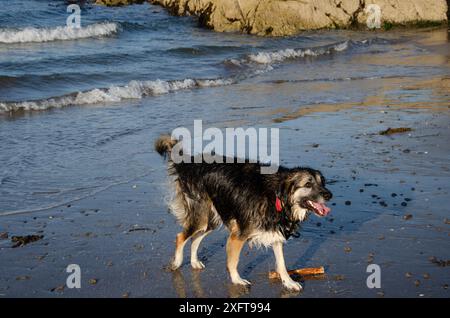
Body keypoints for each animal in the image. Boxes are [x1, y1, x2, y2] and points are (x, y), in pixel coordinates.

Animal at [156, 134, 332, 290]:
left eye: (322, 182)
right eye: (308, 184)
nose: (329, 195)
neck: (276, 195)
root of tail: (189, 163)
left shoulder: (275, 231)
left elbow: (281, 263)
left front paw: (288, 282)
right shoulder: (238, 235)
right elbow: (233, 261)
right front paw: (237, 280)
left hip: (212, 219)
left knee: (194, 239)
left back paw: (194, 262)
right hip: (201, 216)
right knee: (181, 237)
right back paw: (177, 263)